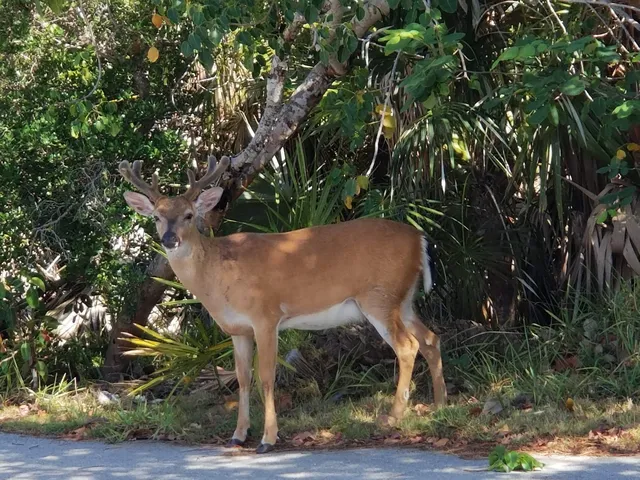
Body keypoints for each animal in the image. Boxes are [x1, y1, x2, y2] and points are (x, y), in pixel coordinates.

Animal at [118, 156, 446, 454]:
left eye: (188, 215)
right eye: (156, 216)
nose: (169, 239)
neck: (218, 276)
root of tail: (420, 238)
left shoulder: (266, 315)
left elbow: (266, 377)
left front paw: (268, 439)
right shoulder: (237, 330)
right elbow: (242, 379)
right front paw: (238, 435)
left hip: (379, 297)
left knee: (407, 346)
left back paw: (393, 417)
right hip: (403, 300)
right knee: (431, 338)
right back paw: (440, 404)